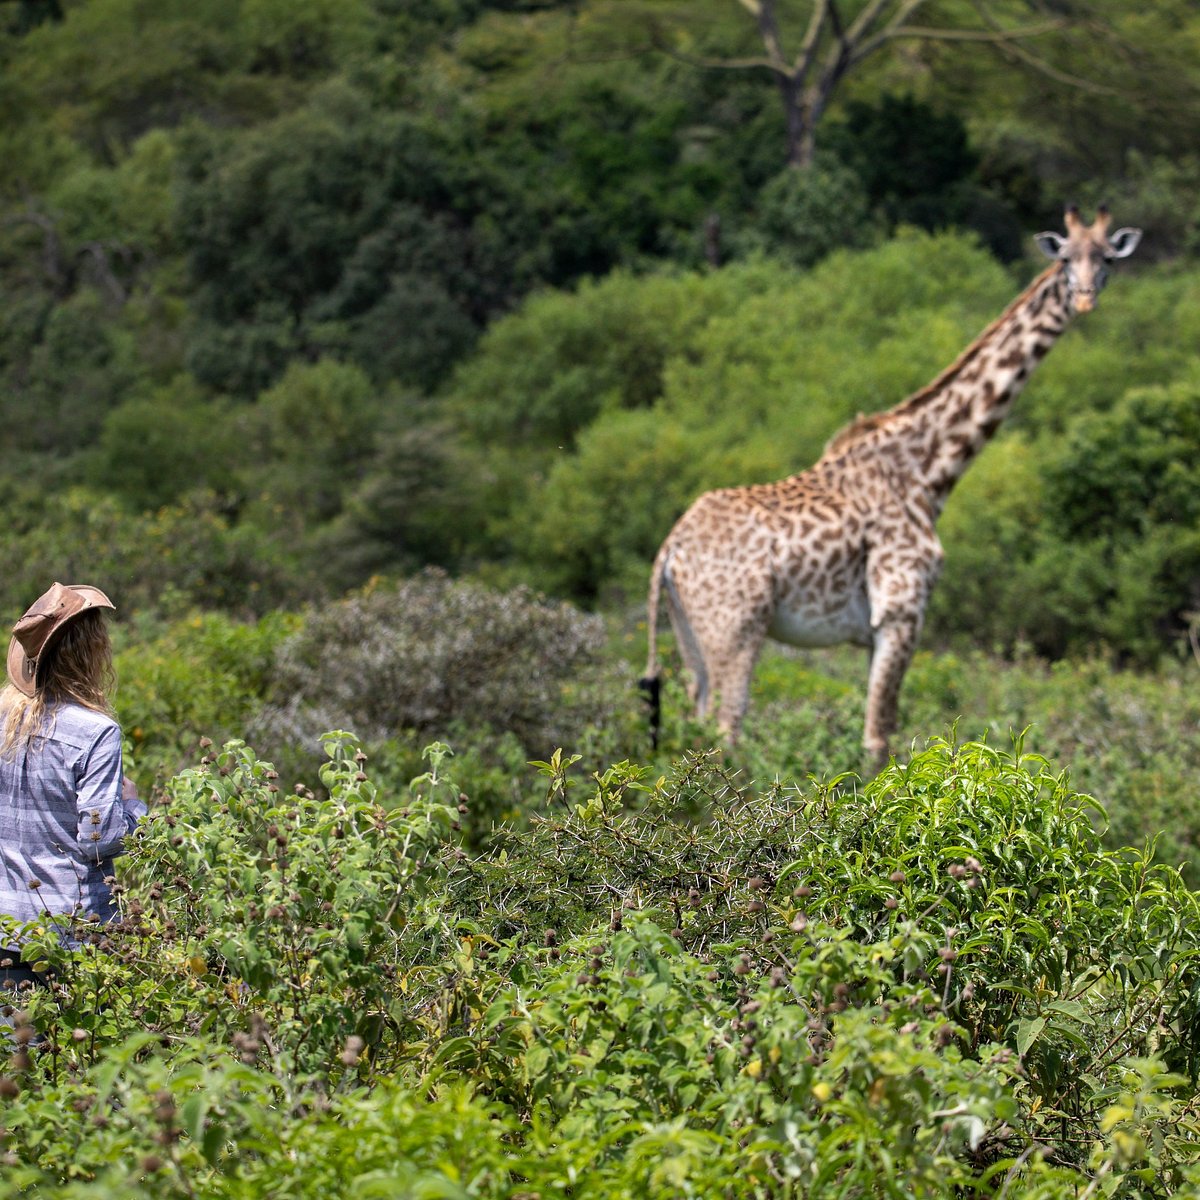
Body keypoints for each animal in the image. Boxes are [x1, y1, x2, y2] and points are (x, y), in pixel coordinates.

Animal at [643, 207, 1137, 768]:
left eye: (1107, 258)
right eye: (1066, 259)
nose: (1086, 298)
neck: (927, 469)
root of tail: (670, 549)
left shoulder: (876, 628)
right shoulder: (901, 612)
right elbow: (880, 738)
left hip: (690, 632)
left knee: (697, 720)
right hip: (736, 628)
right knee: (728, 726)